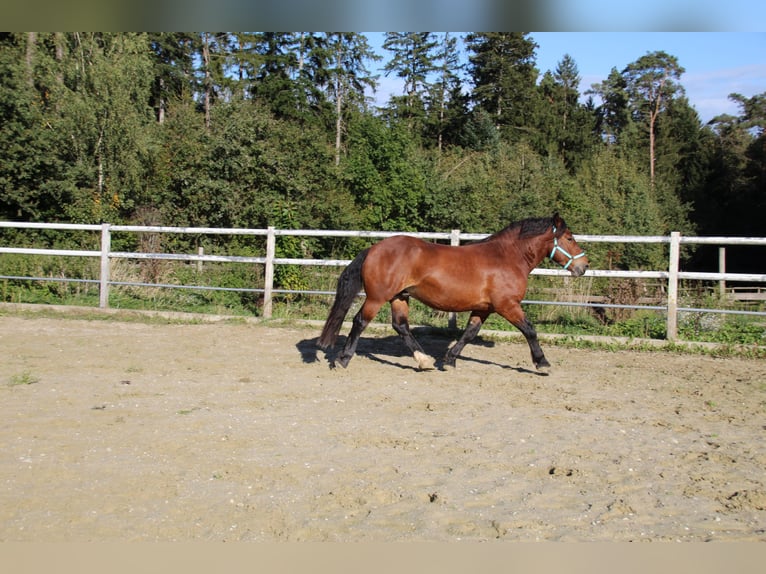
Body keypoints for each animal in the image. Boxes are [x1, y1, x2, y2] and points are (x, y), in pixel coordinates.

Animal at [317, 213, 589, 371]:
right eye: (569, 238)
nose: (584, 266)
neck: (507, 257)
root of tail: (374, 249)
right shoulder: (507, 305)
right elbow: (530, 330)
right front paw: (542, 362)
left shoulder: (484, 308)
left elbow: (469, 333)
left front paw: (449, 360)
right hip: (377, 298)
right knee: (359, 321)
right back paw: (342, 359)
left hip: (399, 297)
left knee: (401, 326)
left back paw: (424, 361)